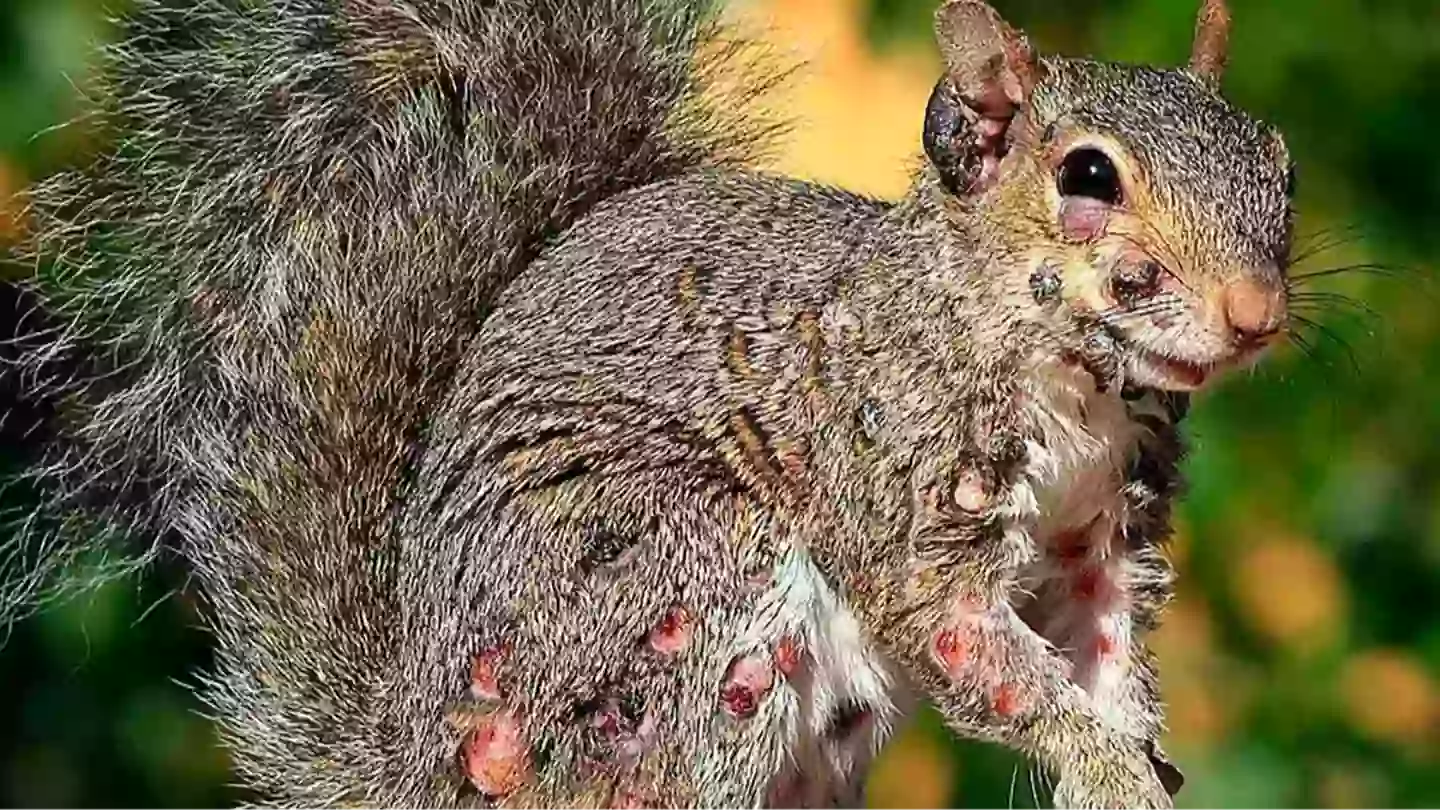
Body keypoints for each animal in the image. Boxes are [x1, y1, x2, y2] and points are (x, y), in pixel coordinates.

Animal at [0, 0, 1297, 808]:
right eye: (1088, 174)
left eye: (1278, 165)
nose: (1255, 312)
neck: (1075, 385)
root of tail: (420, 755)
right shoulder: (900, 484)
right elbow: (980, 650)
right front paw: (1102, 762)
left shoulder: (1104, 536)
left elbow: (1106, 654)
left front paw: (1136, 762)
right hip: (676, 587)